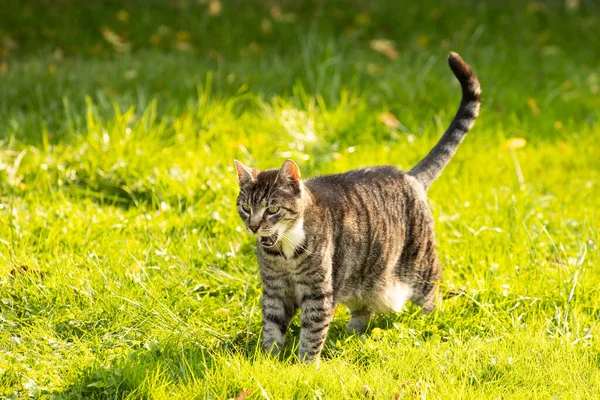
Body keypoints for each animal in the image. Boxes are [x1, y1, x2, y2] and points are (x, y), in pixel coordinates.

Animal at [232, 51, 480, 360]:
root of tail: (410, 176)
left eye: (272, 209)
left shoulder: (318, 293)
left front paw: (304, 364)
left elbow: (312, 332)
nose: (254, 226)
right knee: (364, 308)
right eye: (245, 207)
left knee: (432, 296)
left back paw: (430, 321)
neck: (284, 251)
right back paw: (353, 333)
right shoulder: (274, 290)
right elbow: (272, 327)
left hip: (421, 267)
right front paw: (268, 360)